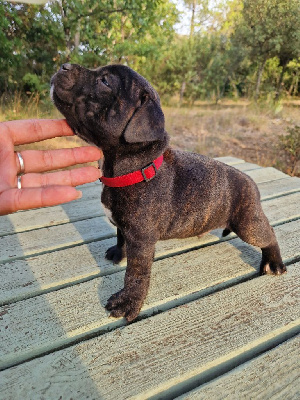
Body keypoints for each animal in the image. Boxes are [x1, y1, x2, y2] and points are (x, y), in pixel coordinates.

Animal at [51, 65, 286, 322]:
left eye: (104, 82)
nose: (64, 65)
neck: (135, 166)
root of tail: (251, 182)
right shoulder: (127, 229)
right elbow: (120, 236)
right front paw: (118, 252)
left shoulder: (141, 241)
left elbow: (136, 274)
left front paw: (129, 301)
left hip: (248, 224)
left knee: (268, 235)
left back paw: (274, 263)